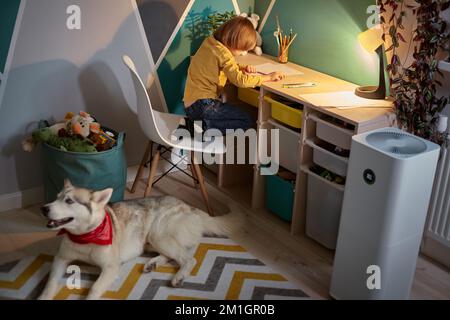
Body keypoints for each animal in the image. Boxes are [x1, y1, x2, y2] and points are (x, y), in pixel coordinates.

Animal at [37, 180, 239, 300]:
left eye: (69, 201)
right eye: (56, 198)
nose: (44, 208)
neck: (85, 237)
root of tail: (189, 206)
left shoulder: (111, 267)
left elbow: (94, 288)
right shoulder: (60, 259)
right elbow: (50, 283)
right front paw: (43, 296)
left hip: (157, 235)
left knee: (188, 259)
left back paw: (179, 276)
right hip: (150, 241)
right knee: (172, 256)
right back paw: (153, 263)